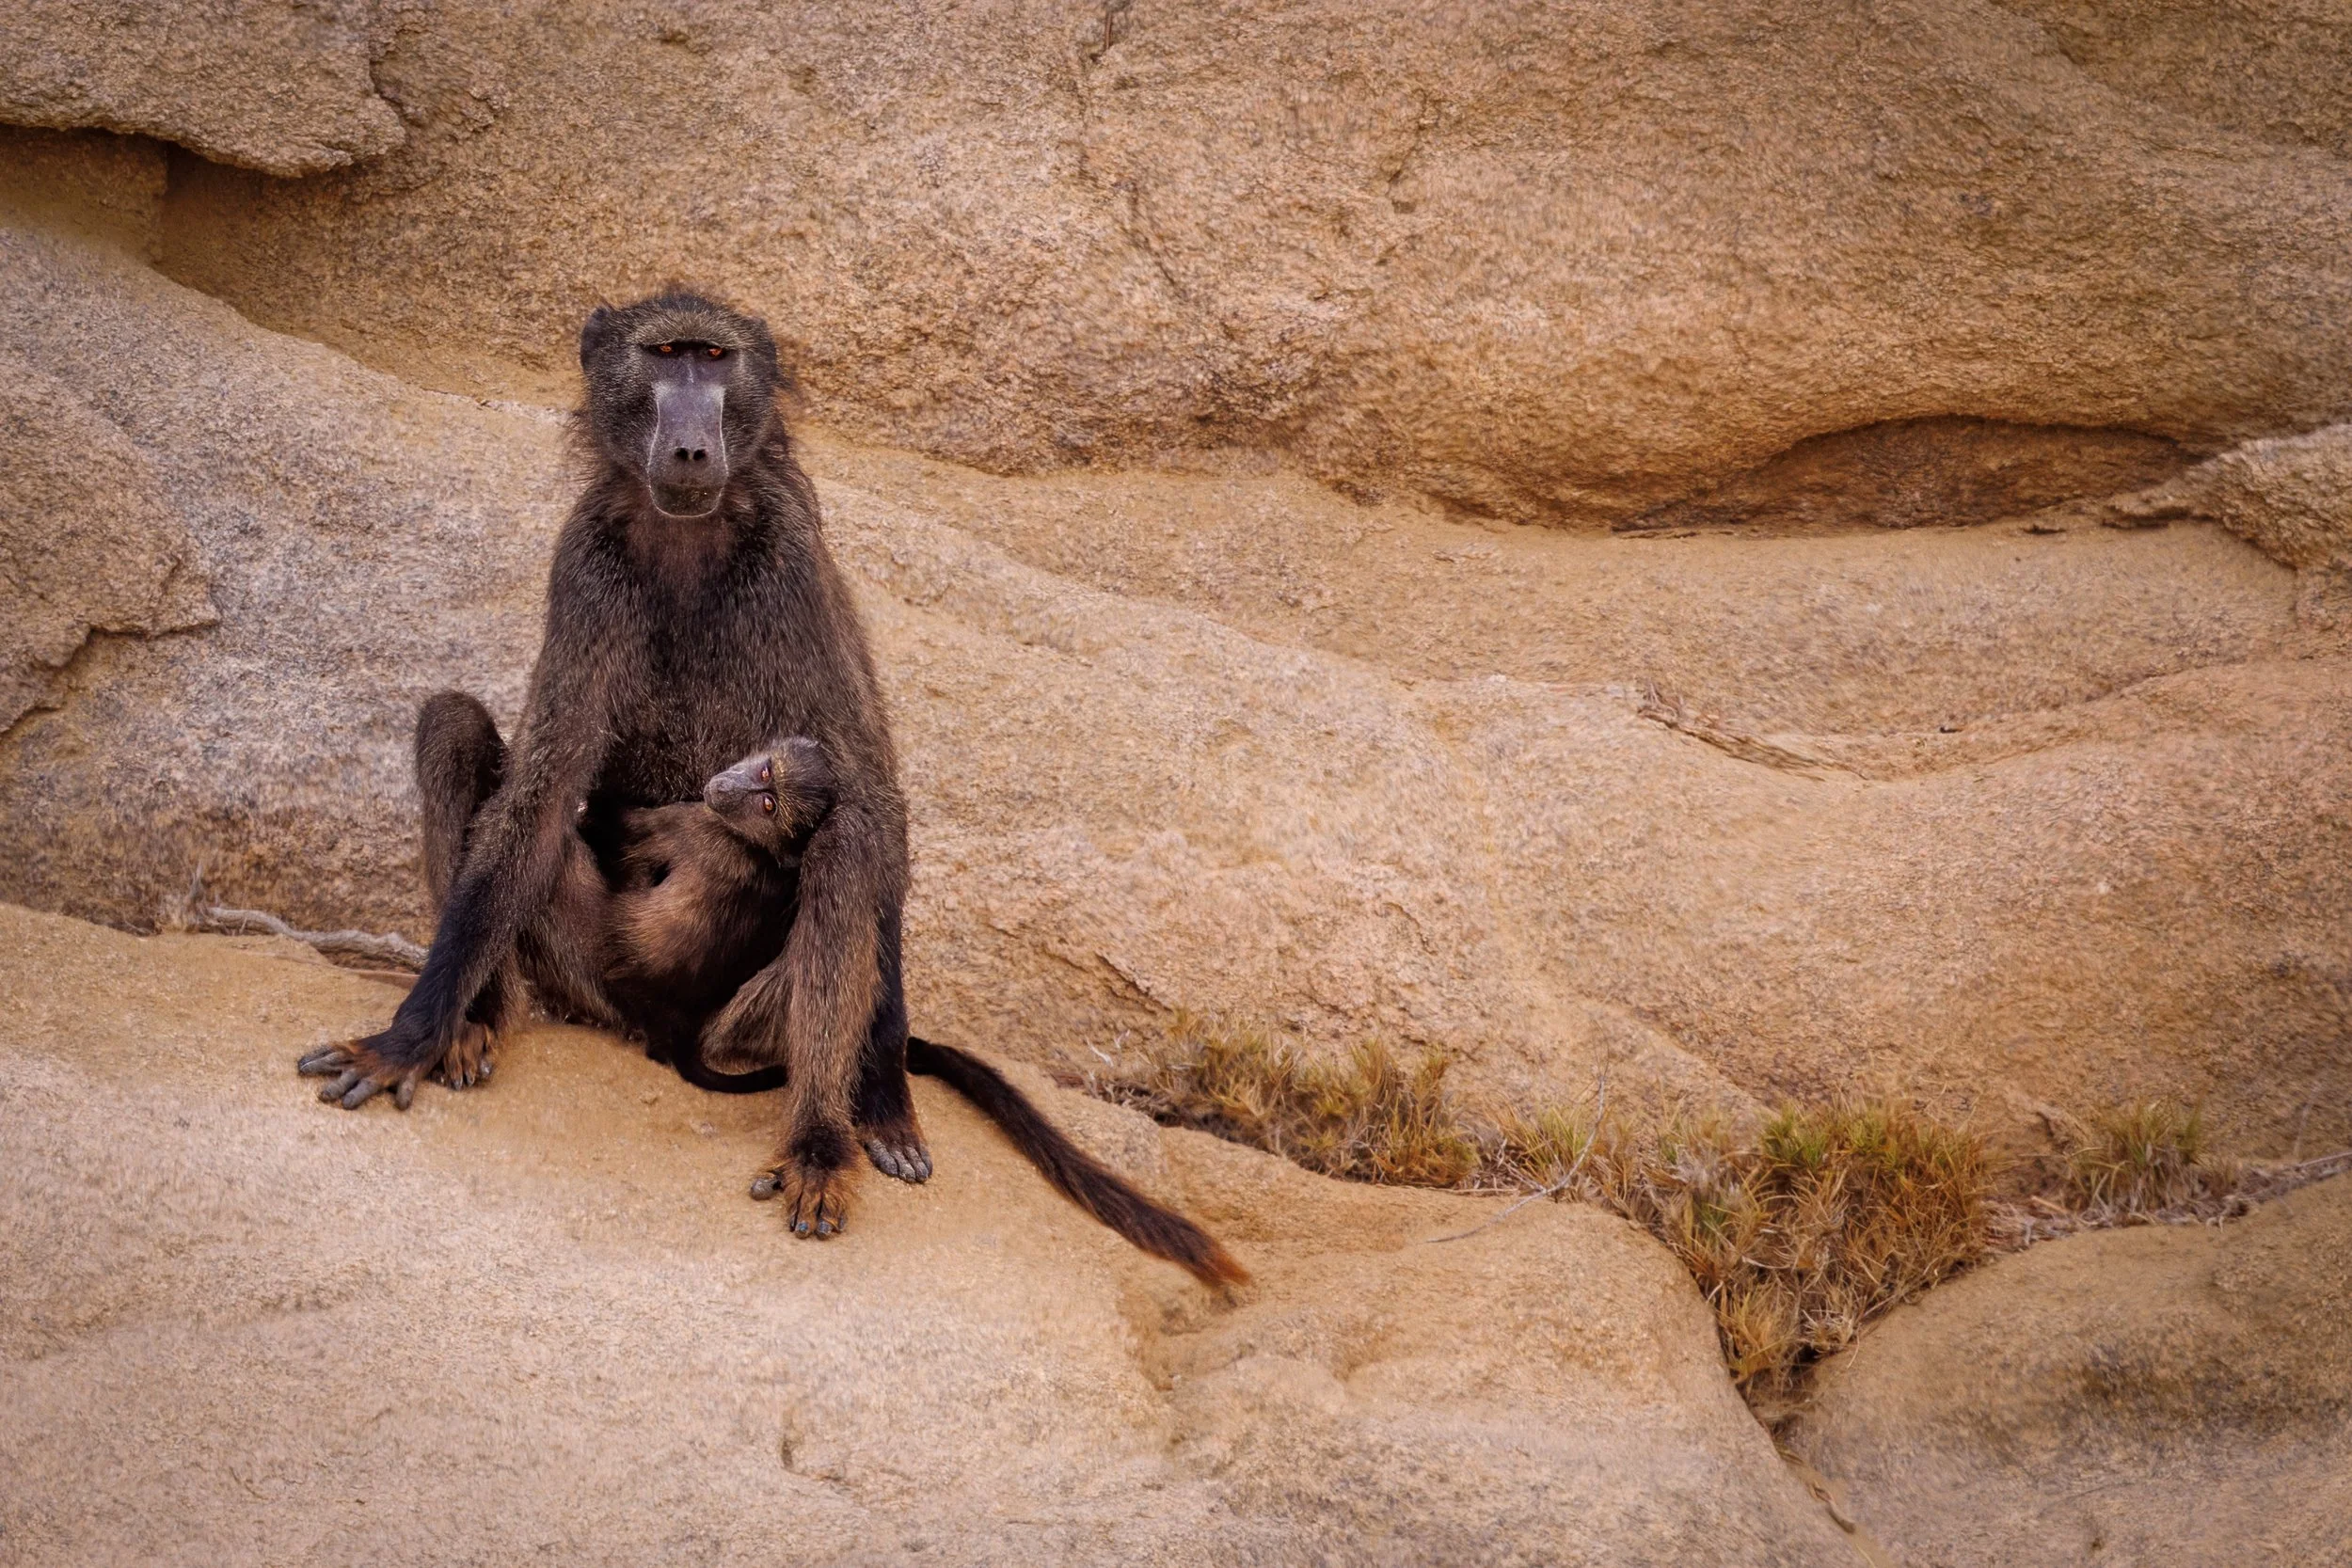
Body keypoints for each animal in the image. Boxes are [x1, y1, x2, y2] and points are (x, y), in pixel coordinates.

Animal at [296, 291, 1245, 1285]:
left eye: (714, 359)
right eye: (664, 356)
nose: (689, 448)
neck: (686, 531)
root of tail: (657, 1030)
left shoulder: (789, 564)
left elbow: (872, 796)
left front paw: (881, 1093)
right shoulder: (584, 560)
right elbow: (545, 795)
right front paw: (409, 1036)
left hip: (744, 1019)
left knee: (848, 844)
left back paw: (823, 1135)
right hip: (585, 971)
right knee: (451, 723)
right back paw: (477, 1021)